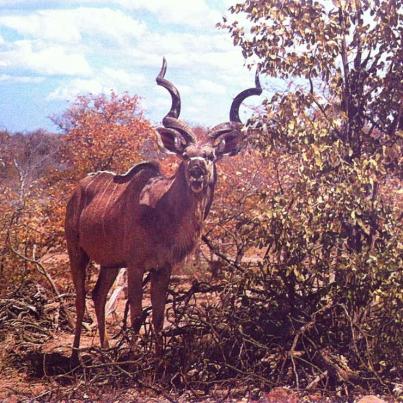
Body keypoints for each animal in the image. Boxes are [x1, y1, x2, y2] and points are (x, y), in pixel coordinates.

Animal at [65, 58, 264, 364]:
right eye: (185, 155)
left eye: (210, 155)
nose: (196, 171)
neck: (161, 211)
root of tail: (78, 190)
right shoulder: (136, 267)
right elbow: (137, 316)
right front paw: (134, 360)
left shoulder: (163, 268)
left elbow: (158, 316)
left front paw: (159, 361)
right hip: (77, 252)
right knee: (80, 298)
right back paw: (76, 356)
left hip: (110, 263)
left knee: (98, 295)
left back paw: (106, 351)